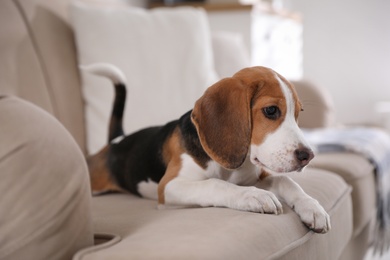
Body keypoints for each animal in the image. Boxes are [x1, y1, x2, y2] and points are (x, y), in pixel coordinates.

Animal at [84, 63, 330, 234]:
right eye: (271, 110)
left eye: (298, 114)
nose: (308, 156)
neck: (233, 167)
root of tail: (116, 141)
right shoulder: (168, 187)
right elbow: (215, 184)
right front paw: (253, 195)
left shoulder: (255, 176)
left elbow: (285, 181)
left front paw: (313, 207)